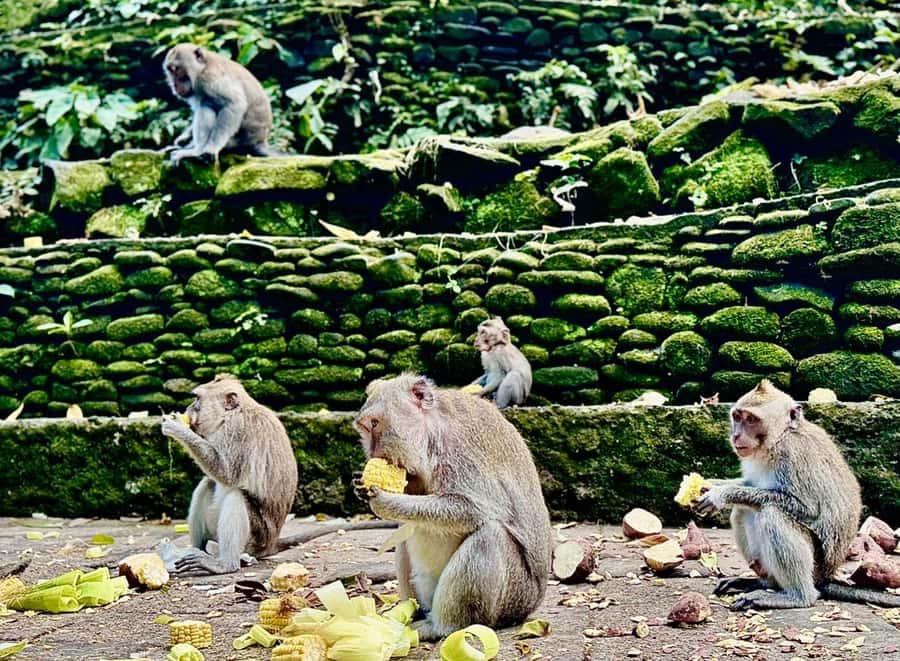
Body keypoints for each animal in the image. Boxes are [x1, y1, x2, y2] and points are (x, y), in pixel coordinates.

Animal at [161, 374, 396, 575]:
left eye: (197, 399)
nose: (188, 408)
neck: (231, 415)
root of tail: (272, 542)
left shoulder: (238, 431)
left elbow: (227, 474)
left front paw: (177, 428)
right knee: (208, 484)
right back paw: (195, 550)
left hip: (257, 538)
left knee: (236, 495)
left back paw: (225, 564)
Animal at [353, 373, 552, 641]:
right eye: (365, 428)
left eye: (375, 424)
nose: (372, 452)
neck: (432, 433)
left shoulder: (460, 451)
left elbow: (477, 508)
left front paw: (384, 501)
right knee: (406, 532)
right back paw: (412, 613)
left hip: (514, 597)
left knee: (490, 535)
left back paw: (441, 627)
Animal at [695, 379, 900, 610]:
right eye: (737, 417)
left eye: (751, 419)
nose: (736, 435)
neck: (780, 438)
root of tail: (826, 577)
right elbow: (750, 485)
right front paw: (709, 485)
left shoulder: (793, 454)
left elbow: (806, 508)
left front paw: (721, 494)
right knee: (742, 511)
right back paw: (762, 583)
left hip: (816, 566)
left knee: (772, 513)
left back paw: (797, 596)